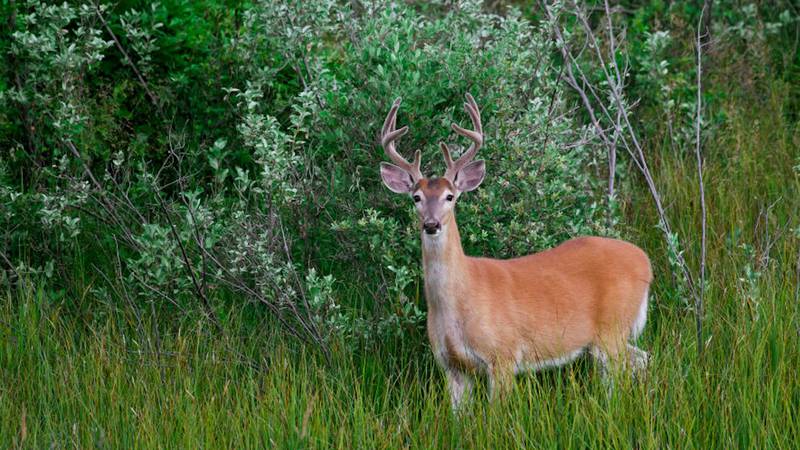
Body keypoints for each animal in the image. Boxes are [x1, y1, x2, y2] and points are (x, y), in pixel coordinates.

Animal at [378, 93, 652, 410]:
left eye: (450, 196)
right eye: (416, 197)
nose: (431, 224)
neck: (457, 303)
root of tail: (645, 261)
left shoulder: (503, 354)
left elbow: (496, 415)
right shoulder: (452, 366)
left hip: (612, 330)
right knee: (643, 358)